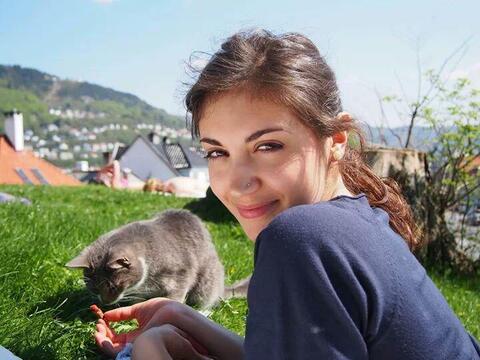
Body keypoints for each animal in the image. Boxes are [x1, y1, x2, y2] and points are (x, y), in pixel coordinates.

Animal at [65, 208, 249, 310]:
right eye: (94, 289)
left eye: (113, 287)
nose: (105, 303)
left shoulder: (181, 274)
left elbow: (175, 296)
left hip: (207, 281)